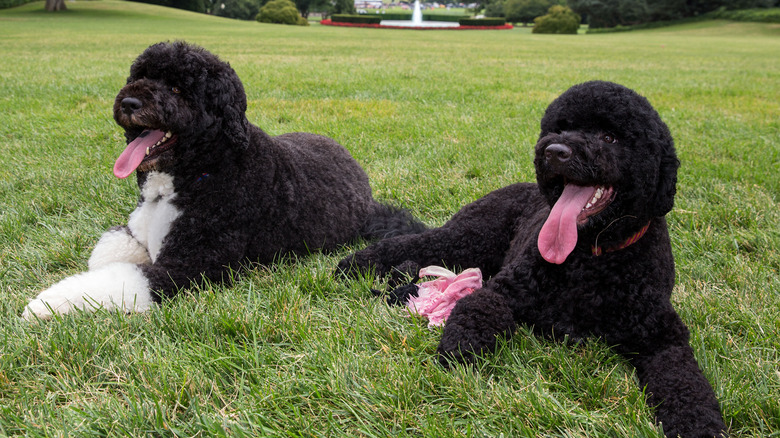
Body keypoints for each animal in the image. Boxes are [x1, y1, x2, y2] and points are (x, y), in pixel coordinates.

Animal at [338, 81, 728, 434]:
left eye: (610, 137)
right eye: (560, 127)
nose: (555, 151)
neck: (591, 258)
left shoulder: (662, 336)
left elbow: (685, 381)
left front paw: (698, 423)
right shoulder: (505, 290)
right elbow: (478, 308)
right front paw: (461, 349)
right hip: (468, 238)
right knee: (413, 243)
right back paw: (353, 265)